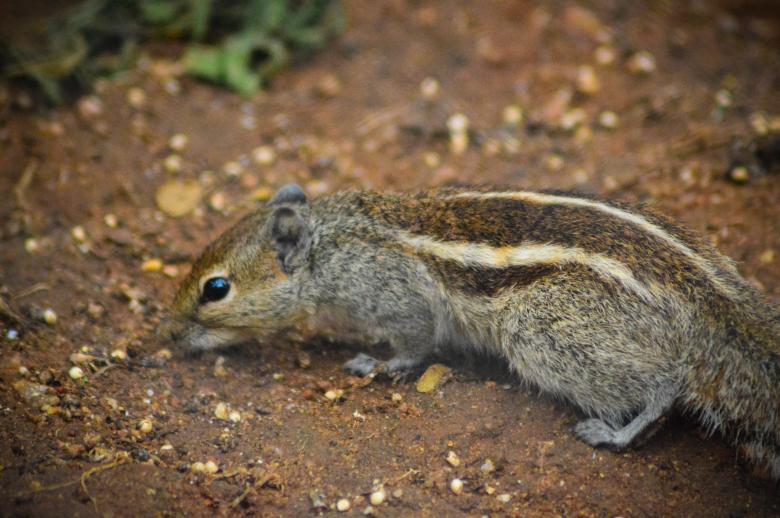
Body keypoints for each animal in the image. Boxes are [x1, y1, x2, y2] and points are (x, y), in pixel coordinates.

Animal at [159, 184, 780, 480]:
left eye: (216, 289)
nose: (167, 335)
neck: (333, 240)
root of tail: (711, 303)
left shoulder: (398, 297)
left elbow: (413, 343)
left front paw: (376, 363)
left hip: (544, 332)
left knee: (662, 391)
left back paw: (617, 433)